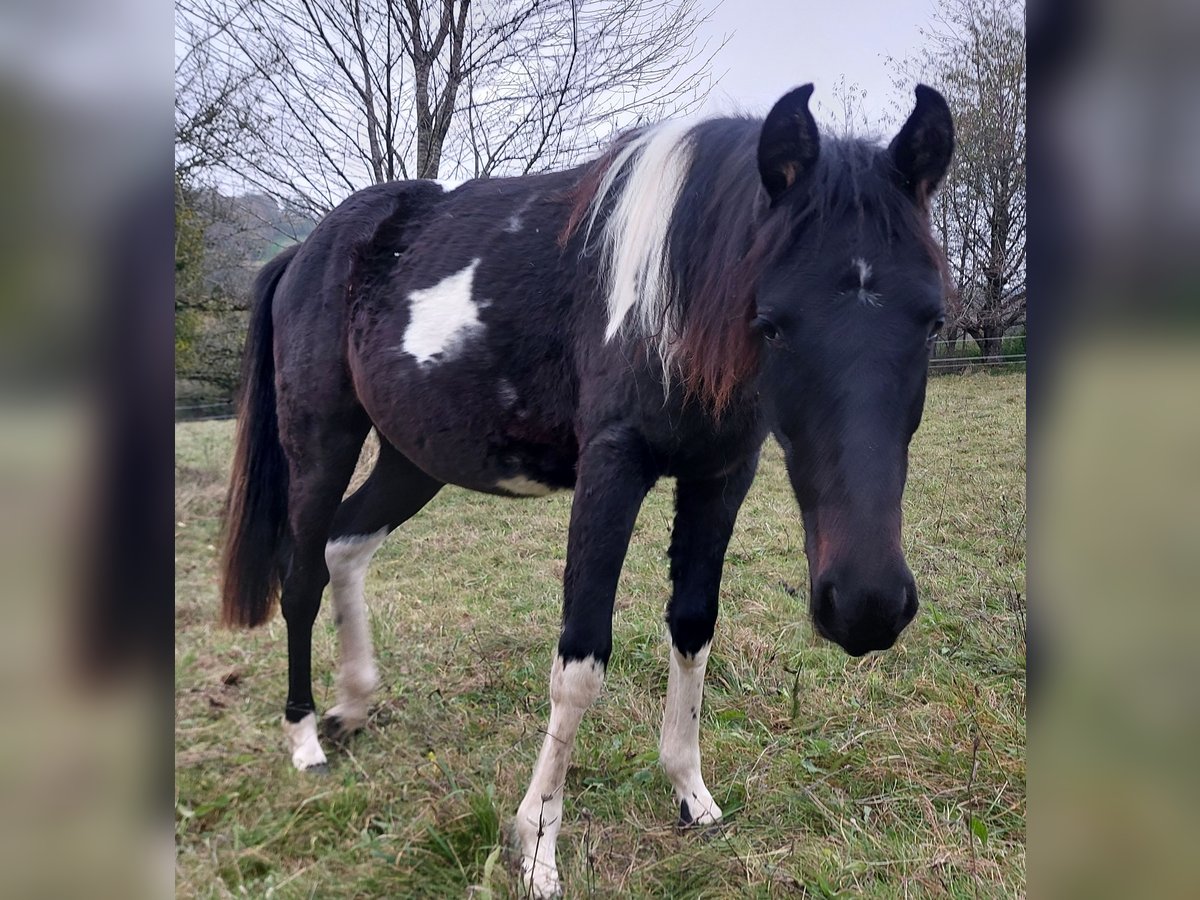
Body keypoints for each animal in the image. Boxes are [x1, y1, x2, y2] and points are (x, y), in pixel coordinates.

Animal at [220, 82, 955, 897]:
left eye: (932, 322)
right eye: (772, 323)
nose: (866, 605)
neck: (674, 287)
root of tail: (307, 250)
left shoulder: (721, 475)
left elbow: (693, 629)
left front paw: (690, 792)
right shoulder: (612, 469)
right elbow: (580, 663)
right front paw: (536, 846)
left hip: (413, 458)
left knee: (345, 546)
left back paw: (353, 703)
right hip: (321, 441)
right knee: (301, 575)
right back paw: (305, 737)